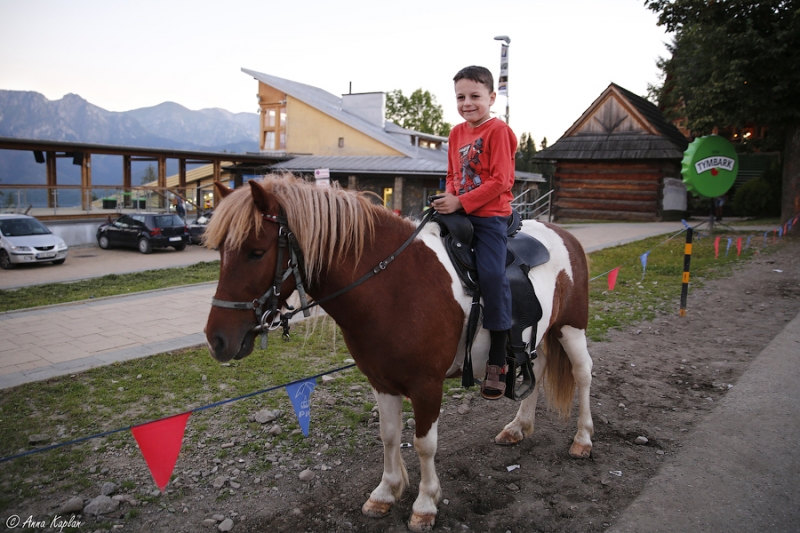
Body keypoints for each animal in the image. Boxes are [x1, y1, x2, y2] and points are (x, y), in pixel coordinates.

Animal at [205, 174, 592, 528]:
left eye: (256, 252)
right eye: (221, 251)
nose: (217, 340)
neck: (393, 285)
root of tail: (564, 233)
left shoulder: (427, 386)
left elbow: (424, 444)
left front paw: (425, 504)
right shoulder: (381, 381)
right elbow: (389, 436)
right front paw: (385, 492)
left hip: (571, 328)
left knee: (583, 374)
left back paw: (583, 439)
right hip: (537, 338)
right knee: (538, 371)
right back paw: (518, 427)